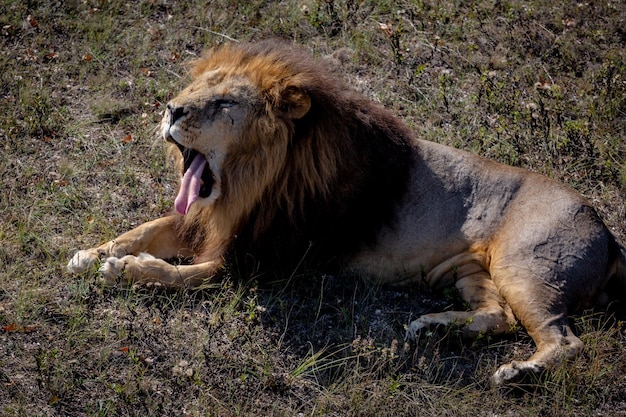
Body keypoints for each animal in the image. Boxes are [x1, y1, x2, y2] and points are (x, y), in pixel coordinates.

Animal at [66, 40, 620, 386]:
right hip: (471, 271)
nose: (171, 109)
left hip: (526, 267)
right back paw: (434, 328)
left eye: (224, 102)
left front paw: (127, 269)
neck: (250, 180)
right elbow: (146, 228)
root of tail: (610, 235)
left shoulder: (265, 260)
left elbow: (187, 275)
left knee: (565, 341)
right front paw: (91, 253)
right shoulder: (214, 222)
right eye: (194, 91)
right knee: (498, 316)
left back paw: (520, 372)